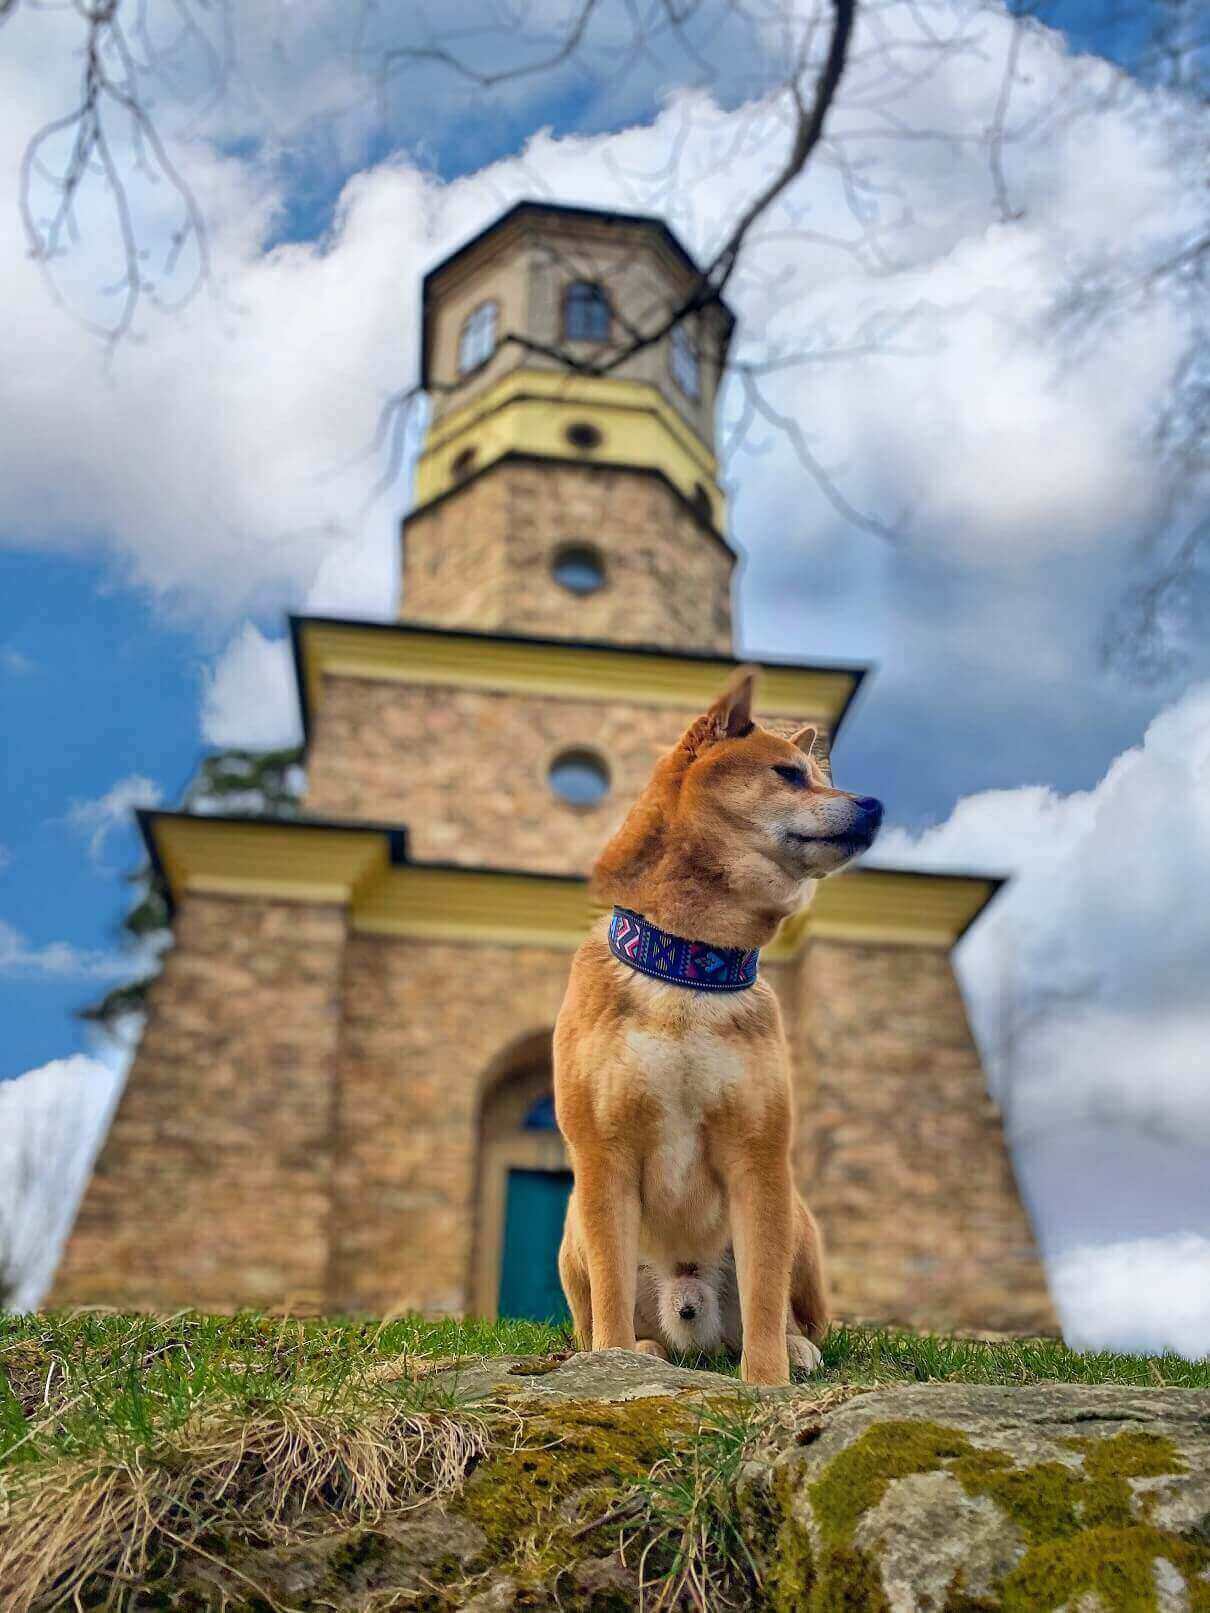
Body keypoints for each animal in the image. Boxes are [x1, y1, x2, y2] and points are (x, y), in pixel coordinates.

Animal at [554, 667, 884, 1387]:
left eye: (817, 775)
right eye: (788, 774)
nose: (874, 803)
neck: (688, 969)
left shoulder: (758, 1156)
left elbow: (763, 1295)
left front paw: (766, 1381)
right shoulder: (603, 1155)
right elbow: (610, 1293)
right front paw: (610, 1368)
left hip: (800, 1221)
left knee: (791, 1313)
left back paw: (796, 1348)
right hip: (571, 1230)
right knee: (601, 1313)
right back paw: (638, 1349)